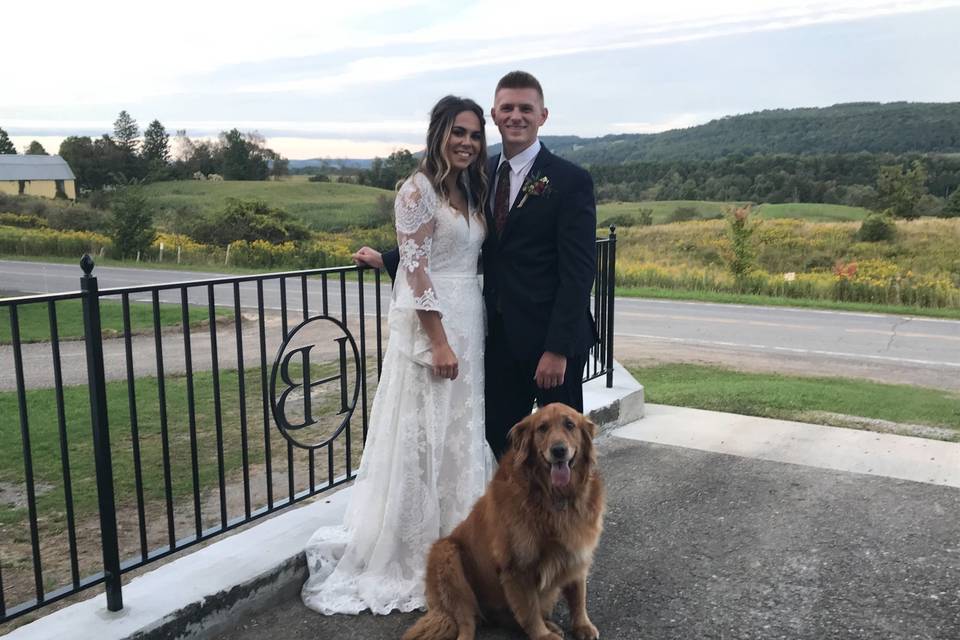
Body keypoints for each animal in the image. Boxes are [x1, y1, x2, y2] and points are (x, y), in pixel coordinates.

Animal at [402, 404, 604, 640]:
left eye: (570, 424)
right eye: (542, 428)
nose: (559, 450)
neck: (552, 495)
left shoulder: (577, 548)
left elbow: (578, 595)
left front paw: (582, 625)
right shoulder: (516, 566)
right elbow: (529, 610)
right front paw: (542, 635)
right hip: (447, 557)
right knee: (467, 624)